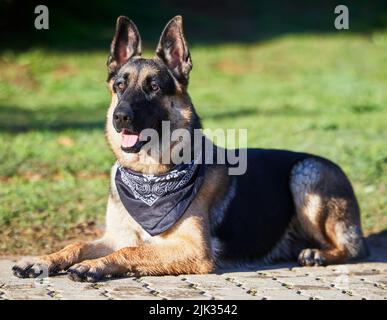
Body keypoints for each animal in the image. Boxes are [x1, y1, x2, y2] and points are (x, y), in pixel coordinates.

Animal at [13, 16, 368, 282]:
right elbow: (77, 244)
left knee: (355, 248)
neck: (149, 175)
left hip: (306, 173)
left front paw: (94, 266)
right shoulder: (115, 236)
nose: (120, 117)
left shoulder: (194, 250)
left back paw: (318, 254)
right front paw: (42, 260)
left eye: (154, 87)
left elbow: (131, 251)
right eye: (119, 86)